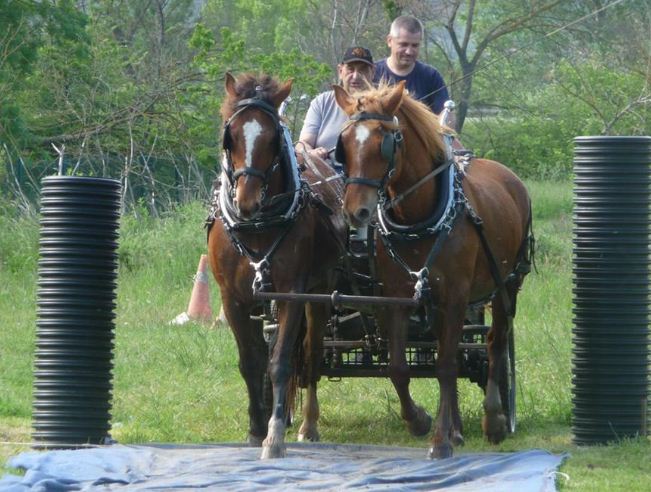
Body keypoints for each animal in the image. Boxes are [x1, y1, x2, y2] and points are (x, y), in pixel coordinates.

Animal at [209, 72, 348, 458]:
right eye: (230, 134)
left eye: (273, 136)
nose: (246, 200)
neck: (258, 226)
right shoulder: (232, 299)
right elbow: (251, 361)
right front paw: (256, 428)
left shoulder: (292, 295)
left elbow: (281, 361)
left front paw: (273, 436)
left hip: (320, 294)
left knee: (312, 356)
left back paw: (307, 424)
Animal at [334, 82, 532, 460]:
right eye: (345, 143)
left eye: (385, 141)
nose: (356, 211)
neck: (418, 216)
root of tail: (509, 176)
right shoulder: (398, 297)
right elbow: (399, 367)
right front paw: (421, 422)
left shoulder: (456, 296)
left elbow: (445, 366)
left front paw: (439, 440)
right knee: (450, 349)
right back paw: (457, 429)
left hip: (507, 285)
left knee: (494, 342)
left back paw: (494, 421)